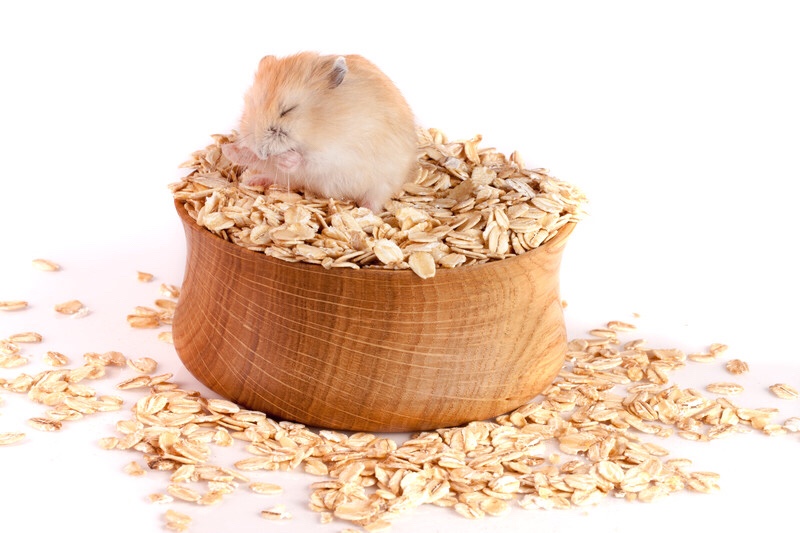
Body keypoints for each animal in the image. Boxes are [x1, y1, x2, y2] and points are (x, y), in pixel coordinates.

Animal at [222, 52, 416, 212]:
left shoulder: (341, 154)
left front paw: (286, 158)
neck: (316, 125)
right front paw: (230, 149)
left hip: (382, 184)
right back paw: (249, 176)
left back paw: (365, 212)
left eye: (288, 110)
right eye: (253, 105)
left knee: (374, 202)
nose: (262, 152)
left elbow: (308, 161)